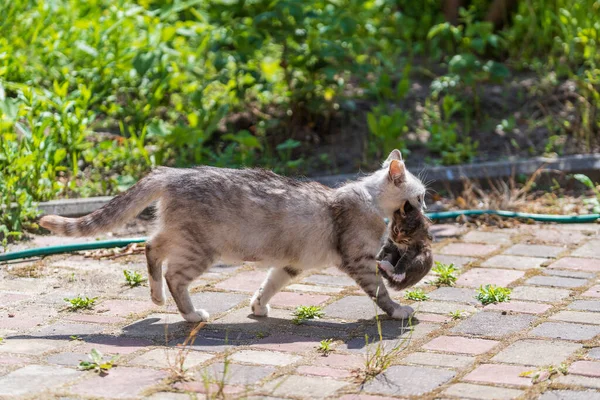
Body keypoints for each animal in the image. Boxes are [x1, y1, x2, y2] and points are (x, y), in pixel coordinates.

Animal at [39, 149, 424, 322]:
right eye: (419, 197)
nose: (426, 207)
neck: (368, 198)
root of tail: (173, 172)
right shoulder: (360, 261)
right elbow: (381, 292)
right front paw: (398, 311)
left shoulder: (291, 264)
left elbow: (269, 284)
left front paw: (258, 307)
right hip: (200, 248)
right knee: (172, 273)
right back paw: (190, 314)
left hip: (179, 235)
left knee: (150, 247)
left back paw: (156, 298)